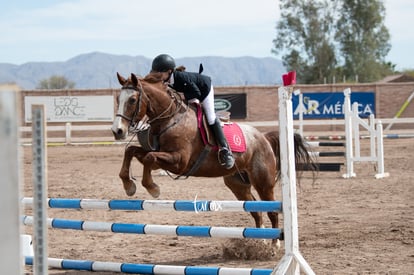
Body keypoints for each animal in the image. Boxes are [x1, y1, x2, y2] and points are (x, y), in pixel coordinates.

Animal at [110, 72, 314, 240]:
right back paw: (259, 242)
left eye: (132, 99)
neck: (170, 119)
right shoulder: (162, 154)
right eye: (119, 98)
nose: (117, 131)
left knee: (271, 210)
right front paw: (129, 185)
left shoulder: (179, 162)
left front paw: (152, 187)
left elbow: (149, 158)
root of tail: (263, 137)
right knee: (256, 210)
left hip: (263, 182)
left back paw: (274, 244)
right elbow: (132, 151)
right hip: (237, 184)